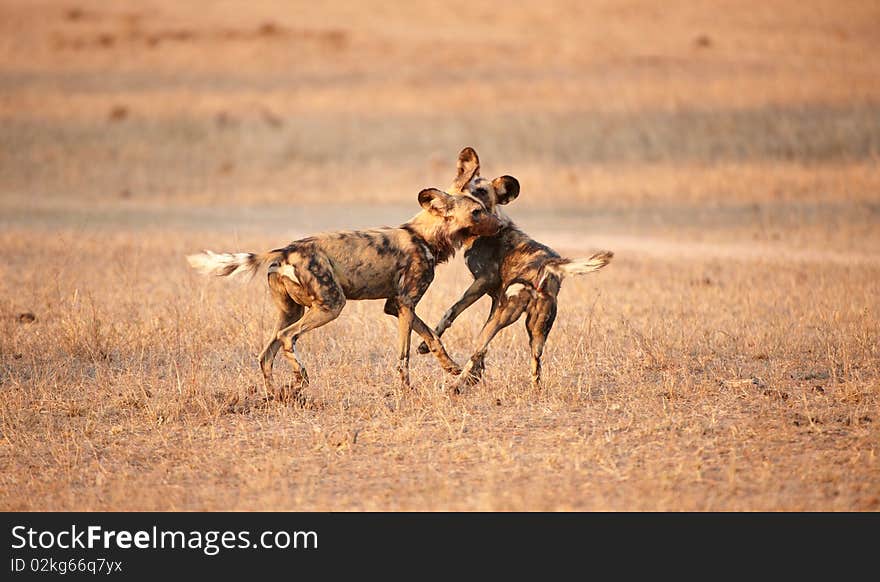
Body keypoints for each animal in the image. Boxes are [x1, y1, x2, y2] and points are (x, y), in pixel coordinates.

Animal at [186, 187, 502, 396]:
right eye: (477, 212)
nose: (500, 225)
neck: (423, 237)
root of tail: (285, 250)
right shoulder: (405, 305)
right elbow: (404, 356)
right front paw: (406, 391)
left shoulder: (396, 305)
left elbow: (433, 338)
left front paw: (452, 368)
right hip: (331, 306)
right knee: (287, 338)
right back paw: (300, 379)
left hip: (292, 311)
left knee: (266, 354)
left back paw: (278, 395)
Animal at [418, 148, 612, 390]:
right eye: (464, 187)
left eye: (482, 191)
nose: (466, 198)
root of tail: (549, 266)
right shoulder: (495, 297)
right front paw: (476, 375)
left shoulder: (483, 281)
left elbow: (450, 312)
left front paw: (426, 347)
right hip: (536, 331)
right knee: (534, 363)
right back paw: (533, 390)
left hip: (508, 315)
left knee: (479, 346)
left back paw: (455, 386)